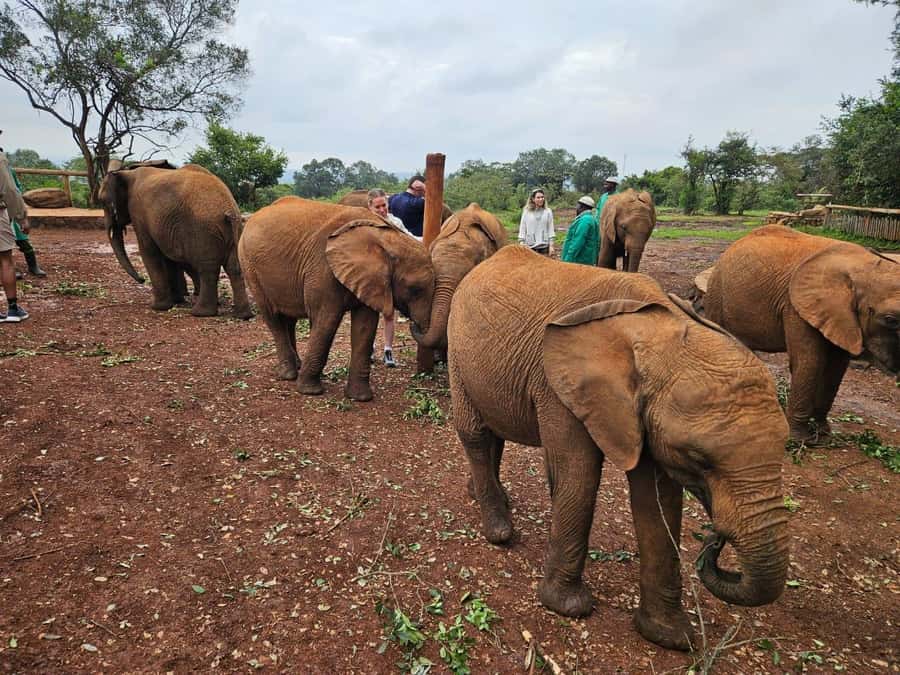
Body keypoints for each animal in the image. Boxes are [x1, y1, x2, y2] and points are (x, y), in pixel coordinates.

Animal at [101, 163, 251, 318]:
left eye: (103, 202)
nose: (142, 280)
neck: (127, 173)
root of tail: (229, 210)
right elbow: (168, 258)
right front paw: (177, 301)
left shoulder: (138, 212)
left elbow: (149, 251)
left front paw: (158, 307)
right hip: (233, 229)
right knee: (233, 268)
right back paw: (243, 315)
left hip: (204, 231)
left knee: (208, 269)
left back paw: (200, 313)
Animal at [237, 197, 434, 401]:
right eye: (415, 289)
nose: (411, 322)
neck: (387, 238)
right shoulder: (323, 268)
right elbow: (327, 322)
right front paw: (310, 391)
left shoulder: (370, 279)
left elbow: (365, 326)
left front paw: (360, 398)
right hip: (249, 265)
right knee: (273, 317)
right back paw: (289, 374)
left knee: (289, 319)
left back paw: (298, 366)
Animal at [447, 245, 790, 650]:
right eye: (700, 460)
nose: (715, 539)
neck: (655, 327)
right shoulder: (558, 386)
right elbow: (577, 476)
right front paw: (568, 607)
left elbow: (657, 501)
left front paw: (671, 638)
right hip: (457, 350)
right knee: (475, 434)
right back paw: (500, 531)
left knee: (494, 430)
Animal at [704, 224, 900, 443]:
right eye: (891, 320)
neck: (861, 266)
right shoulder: (795, 307)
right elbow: (810, 362)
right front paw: (799, 440)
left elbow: (836, 366)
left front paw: (823, 436)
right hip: (716, 293)